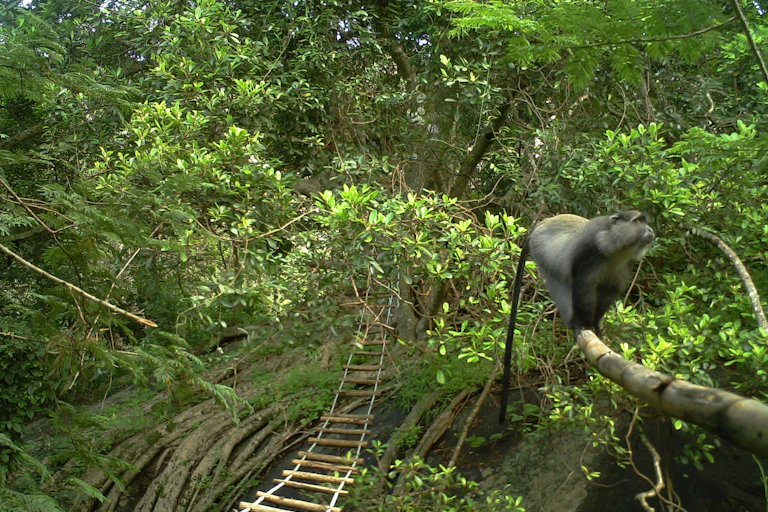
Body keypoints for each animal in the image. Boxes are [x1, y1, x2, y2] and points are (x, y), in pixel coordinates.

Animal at [498, 211, 655, 424]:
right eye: (638, 221)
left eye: (645, 221)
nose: (650, 230)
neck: (615, 248)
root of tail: (538, 227)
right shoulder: (589, 253)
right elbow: (583, 287)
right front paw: (584, 323)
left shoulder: (622, 269)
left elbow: (607, 294)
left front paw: (595, 325)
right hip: (542, 249)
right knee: (560, 279)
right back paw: (573, 320)